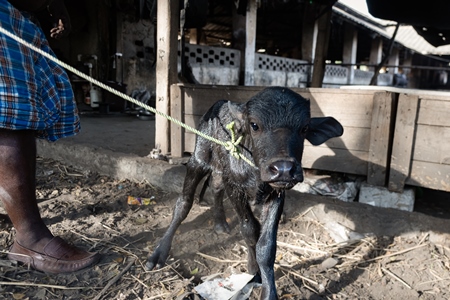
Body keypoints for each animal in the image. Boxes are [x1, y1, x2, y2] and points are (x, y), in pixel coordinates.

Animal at [146, 86, 342, 300]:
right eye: (254, 125)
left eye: (304, 128)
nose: (283, 169)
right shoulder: (235, 188)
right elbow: (249, 229)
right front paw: (253, 269)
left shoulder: (277, 195)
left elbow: (266, 246)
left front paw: (267, 289)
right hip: (198, 159)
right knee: (184, 203)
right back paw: (159, 253)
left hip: (220, 169)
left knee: (215, 188)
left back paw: (220, 224)